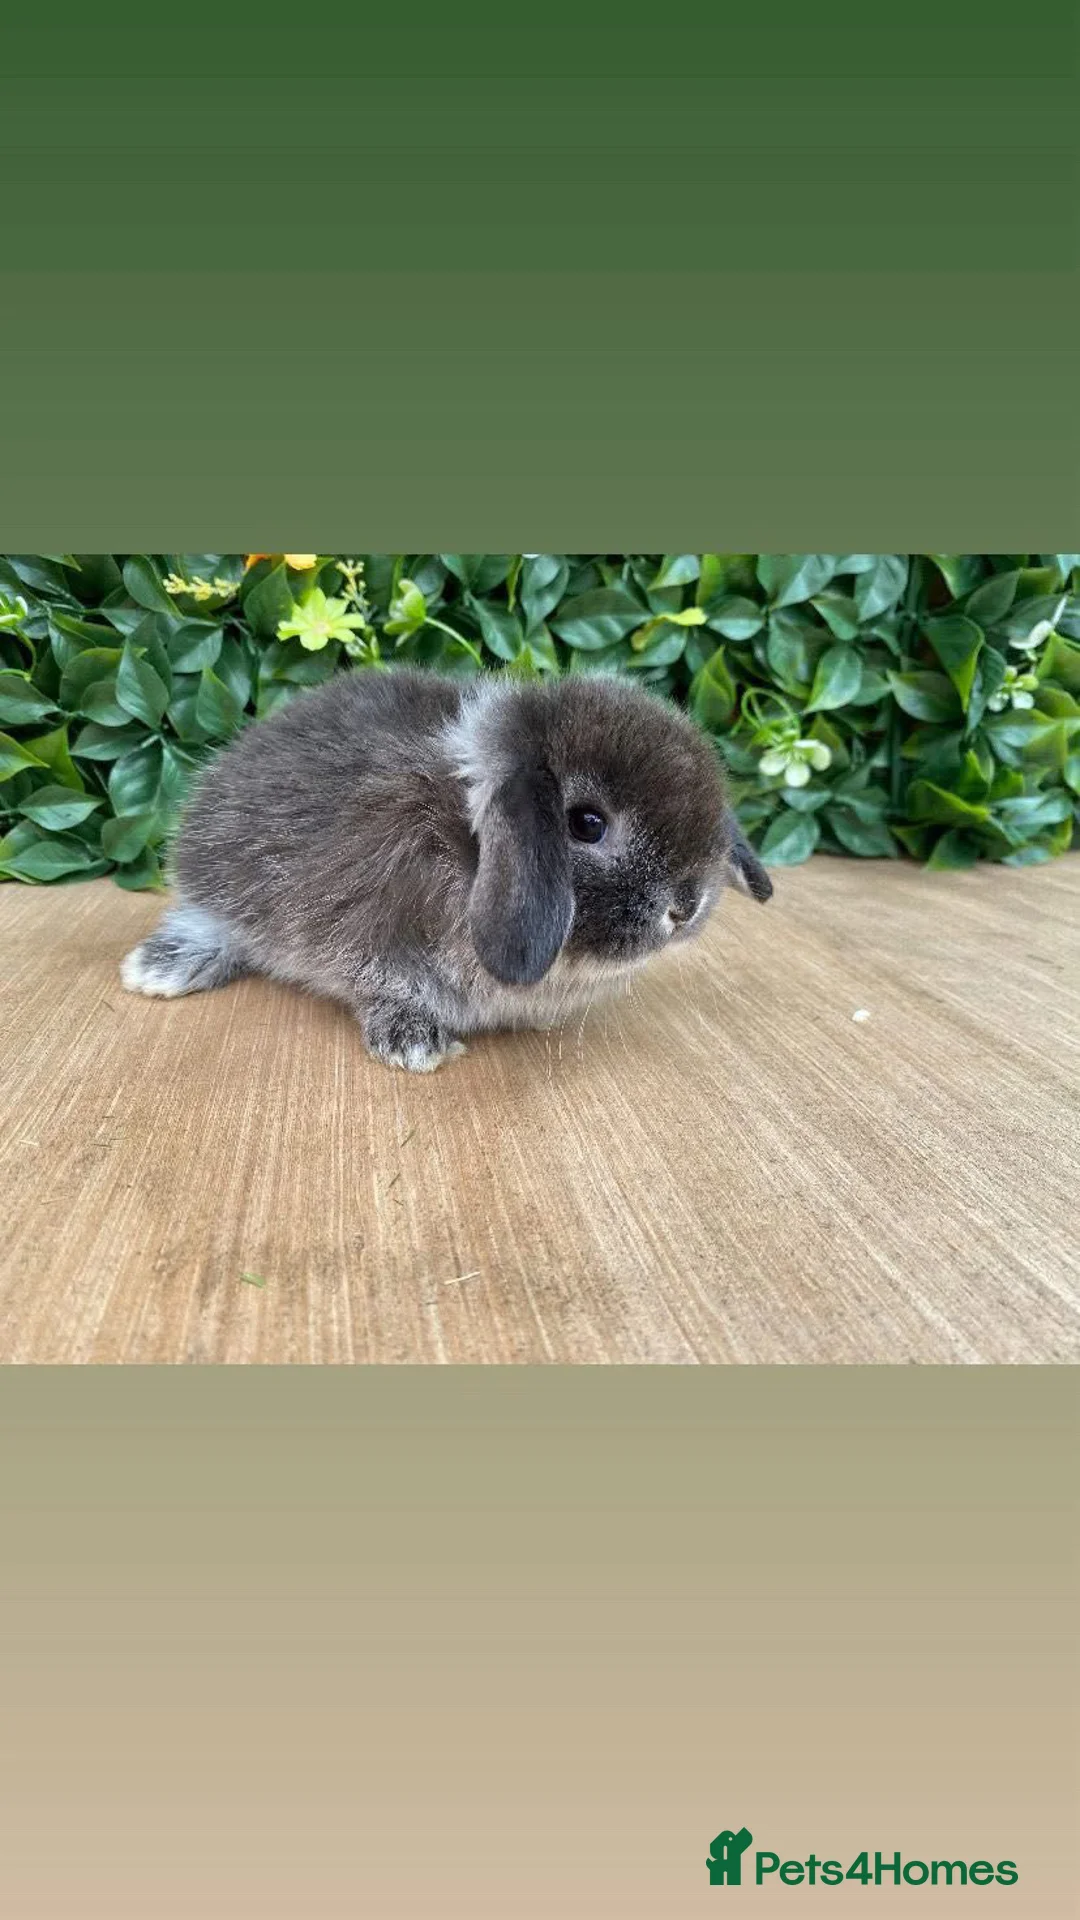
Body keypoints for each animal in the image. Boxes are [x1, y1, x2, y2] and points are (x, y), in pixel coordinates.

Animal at [120, 666, 773, 1071]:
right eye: (587, 823)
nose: (685, 906)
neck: (463, 844)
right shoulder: (367, 928)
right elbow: (382, 981)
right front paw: (414, 1045)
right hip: (220, 874)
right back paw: (159, 971)